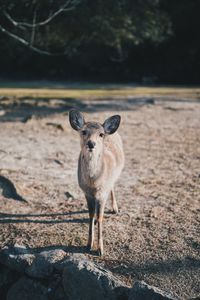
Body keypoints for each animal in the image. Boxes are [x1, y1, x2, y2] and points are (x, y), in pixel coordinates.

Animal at [69, 110, 124, 255]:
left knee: (112, 186)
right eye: (83, 131)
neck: (93, 182)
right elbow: (91, 215)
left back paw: (115, 209)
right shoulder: (86, 192)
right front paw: (88, 245)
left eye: (101, 134)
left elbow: (100, 217)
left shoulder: (102, 193)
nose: (91, 144)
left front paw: (100, 249)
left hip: (114, 177)